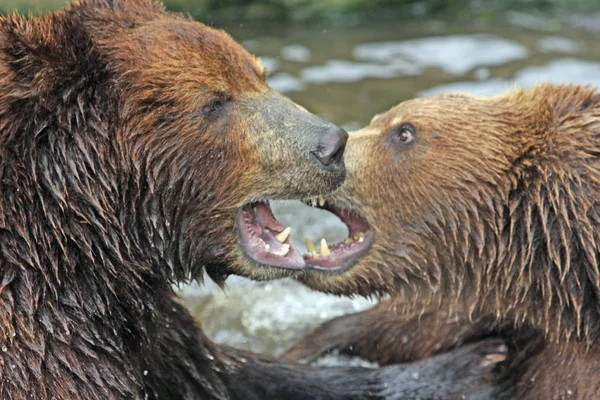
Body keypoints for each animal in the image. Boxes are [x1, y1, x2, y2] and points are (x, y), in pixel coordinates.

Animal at [0, 0, 506, 400]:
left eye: (258, 74)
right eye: (213, 102)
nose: (332, 145)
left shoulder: (151, 333)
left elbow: (232, 371)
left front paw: (472, 362)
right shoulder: (44, 341)